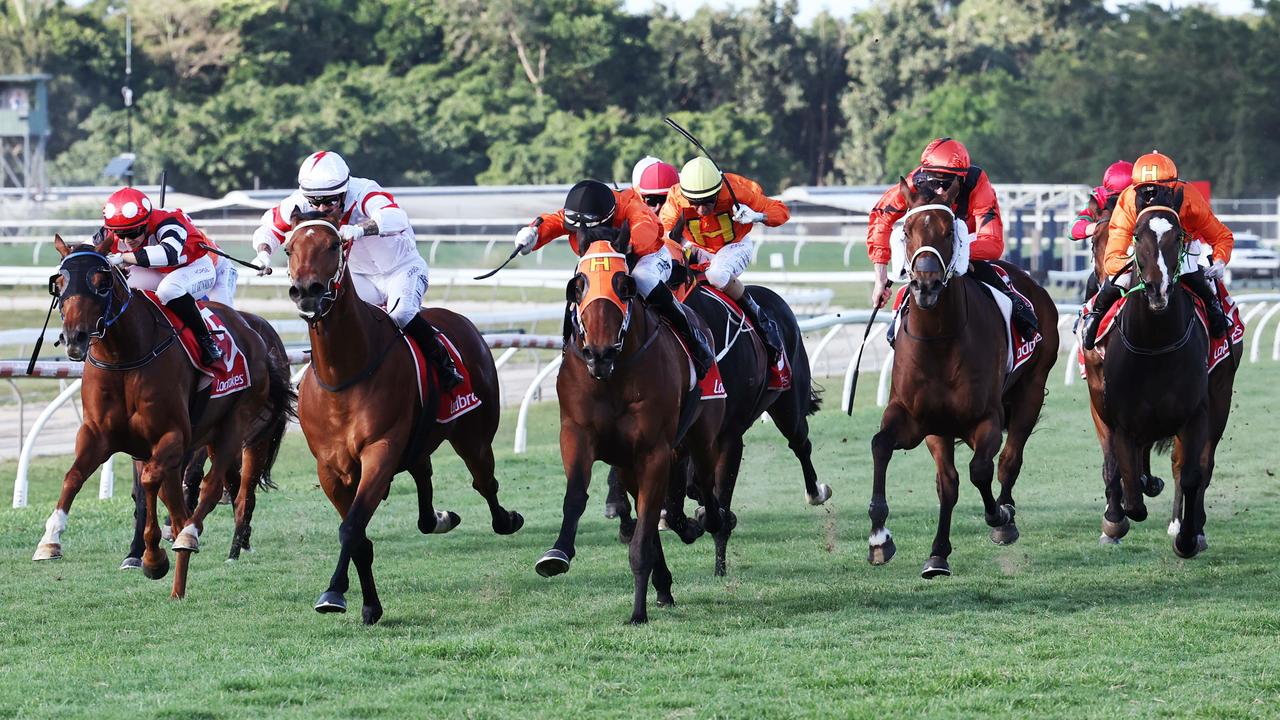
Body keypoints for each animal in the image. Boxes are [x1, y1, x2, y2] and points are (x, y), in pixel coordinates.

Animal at [35, 233, 296, 597]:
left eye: (102, 283)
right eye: (59, 283)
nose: (75, 338)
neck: (125, 357)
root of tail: (255, 333)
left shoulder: (172, 436)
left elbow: (151, 483)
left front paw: (153, 556)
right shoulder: (98, 434)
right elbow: (74, 477)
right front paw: (51, 539)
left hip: (237, 427)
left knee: (215, 487)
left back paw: (195, 536)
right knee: (202, 491)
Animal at [284, 207, 519, 622]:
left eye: (334, 244)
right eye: (288, 248)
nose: (306, 290)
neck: (343, 375)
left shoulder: (380, 449)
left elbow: (352, 527)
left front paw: (333, 592)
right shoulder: (330, 468)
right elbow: (358, 536)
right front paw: (369, 604)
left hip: (474, 436)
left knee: (484, 482)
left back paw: (505, 519)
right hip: (420, 440)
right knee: (424, 474)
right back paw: (438, 518)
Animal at [535, 229, 727, 622]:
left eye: (623, 286)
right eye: (578, 285)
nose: (599, 352)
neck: (613, 376)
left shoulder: (654, 451)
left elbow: (647, 528)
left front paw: (638, 612)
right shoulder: (578, 435)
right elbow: (576, 496)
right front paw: (557, 553)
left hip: (700, 434)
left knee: (701, 482)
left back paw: (705, 523)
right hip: (626, 462)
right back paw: (665, 581)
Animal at [870, 179, 1059, 576]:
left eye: (948, 232)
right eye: (907, 231)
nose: (926, 285)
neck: (940, 340)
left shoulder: (987, 417)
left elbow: (981, 470)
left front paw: (999, 517)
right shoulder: (917, 419)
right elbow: (884, 447)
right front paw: (881, 538)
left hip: (1031, 390)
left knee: (1009, 459)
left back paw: (1007, 512)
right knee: (950, 482)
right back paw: (938, 551)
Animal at [1085, 192, 1233, 556]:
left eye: (1178, 237)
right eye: (1137, 237)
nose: (1157, 289)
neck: (1154, 345)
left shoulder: (1194, 414)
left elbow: (1191, 473)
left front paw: (1187, 536)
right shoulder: (1110, 408)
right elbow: (1121, 472)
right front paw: (1115, 520)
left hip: (1220, 398)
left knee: (1197, 465)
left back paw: (1189, 525)